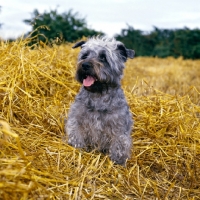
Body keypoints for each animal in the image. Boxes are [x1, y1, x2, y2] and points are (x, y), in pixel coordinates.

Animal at [65, 36, 135, 166]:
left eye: (103, 57)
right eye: (85, 55)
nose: (85, 65)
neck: (98, 95)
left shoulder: (119, 129)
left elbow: (119, 146)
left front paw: (118, 162)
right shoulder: (76, 122)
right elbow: (76, 136)